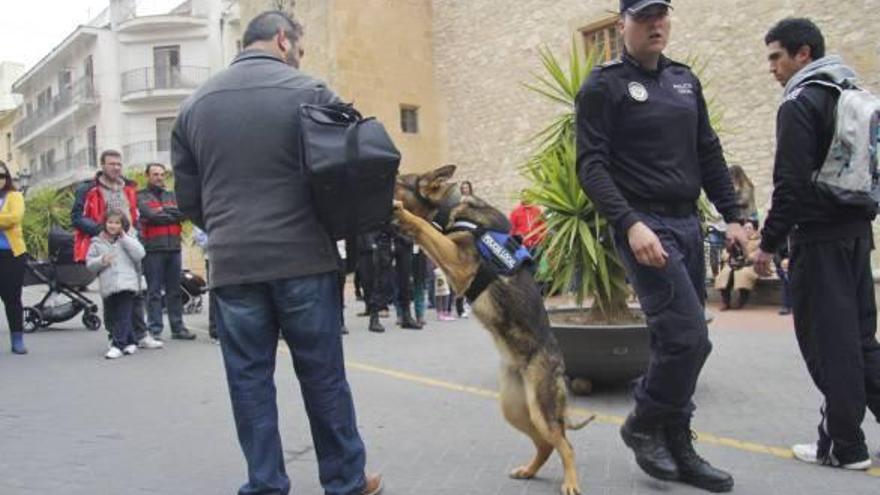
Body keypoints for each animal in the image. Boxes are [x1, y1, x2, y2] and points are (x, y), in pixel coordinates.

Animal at [394, 166, 592, 495]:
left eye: (398, 180)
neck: (450, 208)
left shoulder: (459, 263)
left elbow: (424, 228)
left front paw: (403, 214)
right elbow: (426, 233)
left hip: (541, 408)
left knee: (566, 445)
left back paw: (571, 482)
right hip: (514, 409)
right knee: (546, 444)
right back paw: (529, 470)